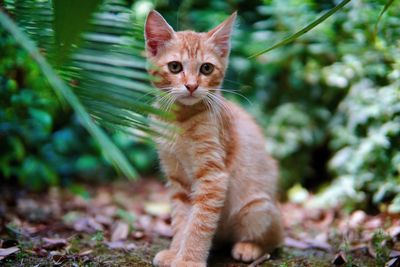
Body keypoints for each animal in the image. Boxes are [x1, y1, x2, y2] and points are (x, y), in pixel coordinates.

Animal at [145, 11, 282, 267]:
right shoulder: (177, 180)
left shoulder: (213, 178)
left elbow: (199, 223)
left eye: (206, 68)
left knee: (277, 239)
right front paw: (175, 252)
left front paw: (188, 260)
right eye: (175, 67)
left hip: (257, 208)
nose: (191, 86)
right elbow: (182, 220)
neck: (179, 120)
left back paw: (249, 247)